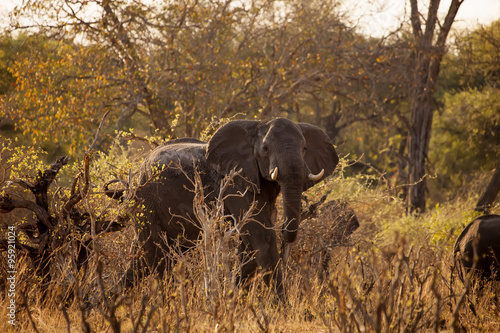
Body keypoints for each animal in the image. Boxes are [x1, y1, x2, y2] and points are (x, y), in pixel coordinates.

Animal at [114, 118, 340, 294]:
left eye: (305, 149)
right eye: (265, 149)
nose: (286, 230)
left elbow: (250, 245)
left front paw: (234, 295)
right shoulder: (235, 180)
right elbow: (261, 234)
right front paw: (280, 309)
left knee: (142, 259)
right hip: (145, 200)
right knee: (157, 255)